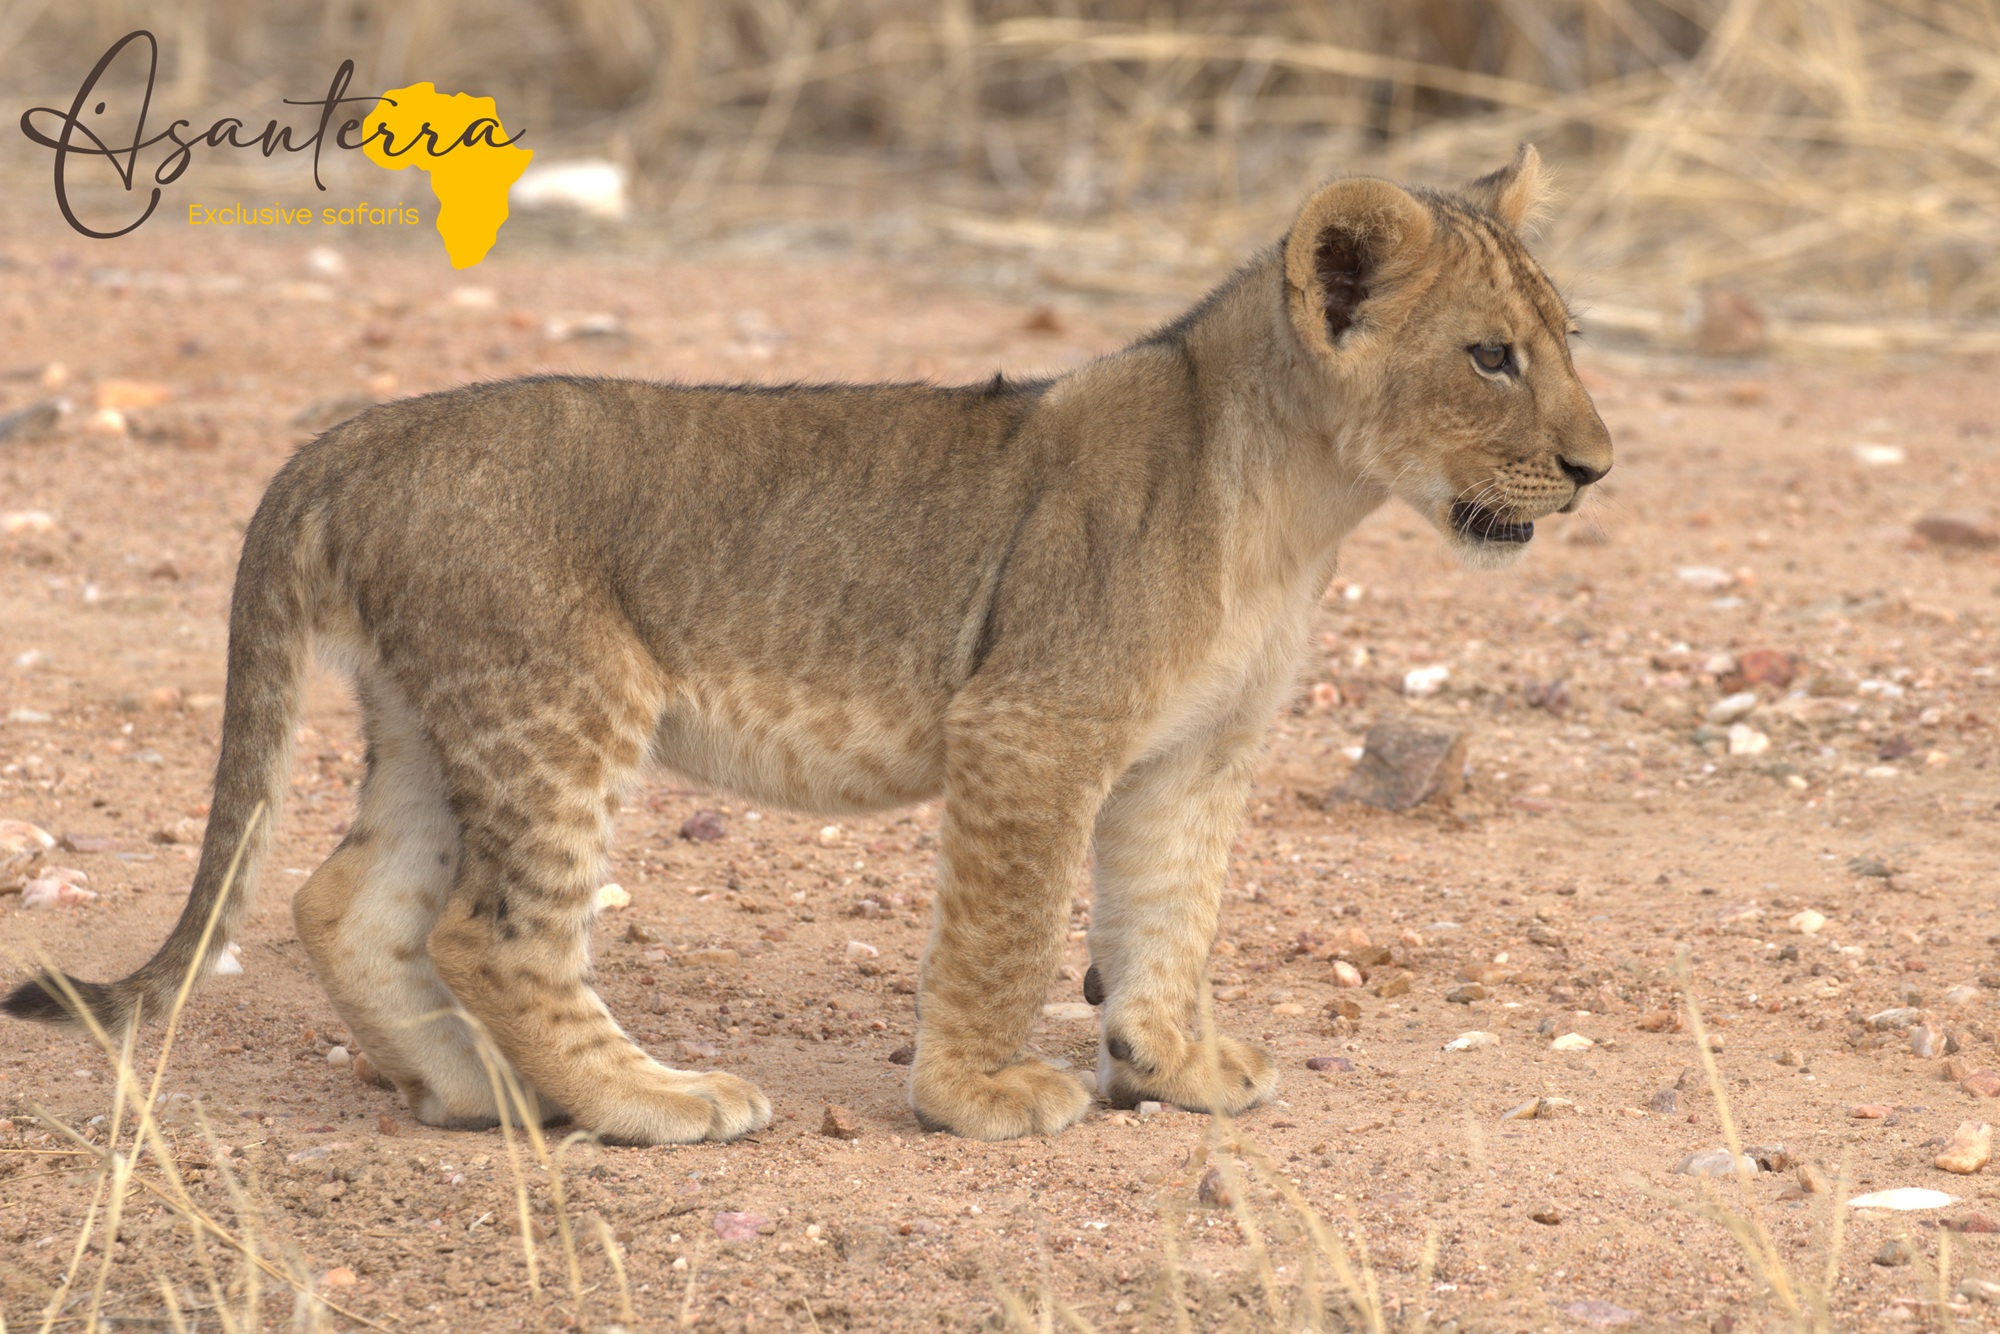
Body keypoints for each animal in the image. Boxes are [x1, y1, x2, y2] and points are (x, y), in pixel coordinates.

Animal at [5, 146, 1610, 1143]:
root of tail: (350, 437)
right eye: (1489, 356)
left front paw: (1173, 1064)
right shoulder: (1030, 727)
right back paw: (648, 1102)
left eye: (1568, 338)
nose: (1598, 467)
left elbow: (1170, 912)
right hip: (561, 701)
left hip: (431, 713)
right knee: (493, 929)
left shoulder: (1194, 758)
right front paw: (980, 1095)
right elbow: (1008, 924)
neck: (1295, 500)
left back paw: (478, 1089)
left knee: (343, 899)